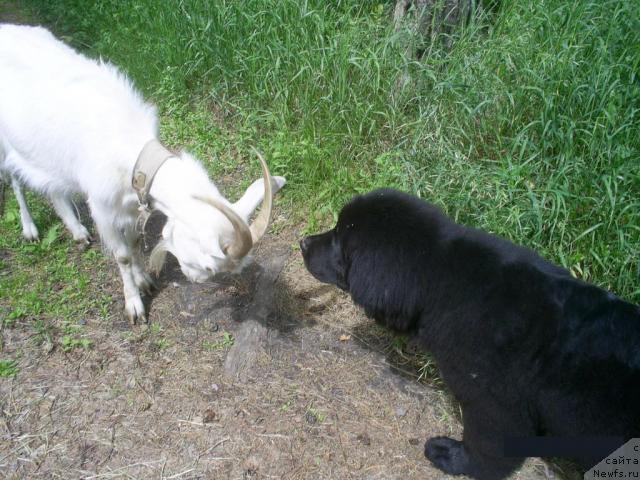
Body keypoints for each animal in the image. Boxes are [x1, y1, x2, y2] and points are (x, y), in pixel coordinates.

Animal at [0, 26, 284, 324]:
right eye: (209, 266)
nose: (193, 278)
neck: (129, 148)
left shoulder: (132, 203)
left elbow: (135, 242)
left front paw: (144, 280)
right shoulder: (103, 210)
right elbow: (123, 255)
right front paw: (134, 304)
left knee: (53, 188)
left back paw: (77, 230)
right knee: (15, 181)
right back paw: (30, 229)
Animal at [300, 188, 640, 480]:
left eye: (339, 238)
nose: (303, 242)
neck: (440, 279)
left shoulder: (492, 404)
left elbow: (486, 446)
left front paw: (453, 458)